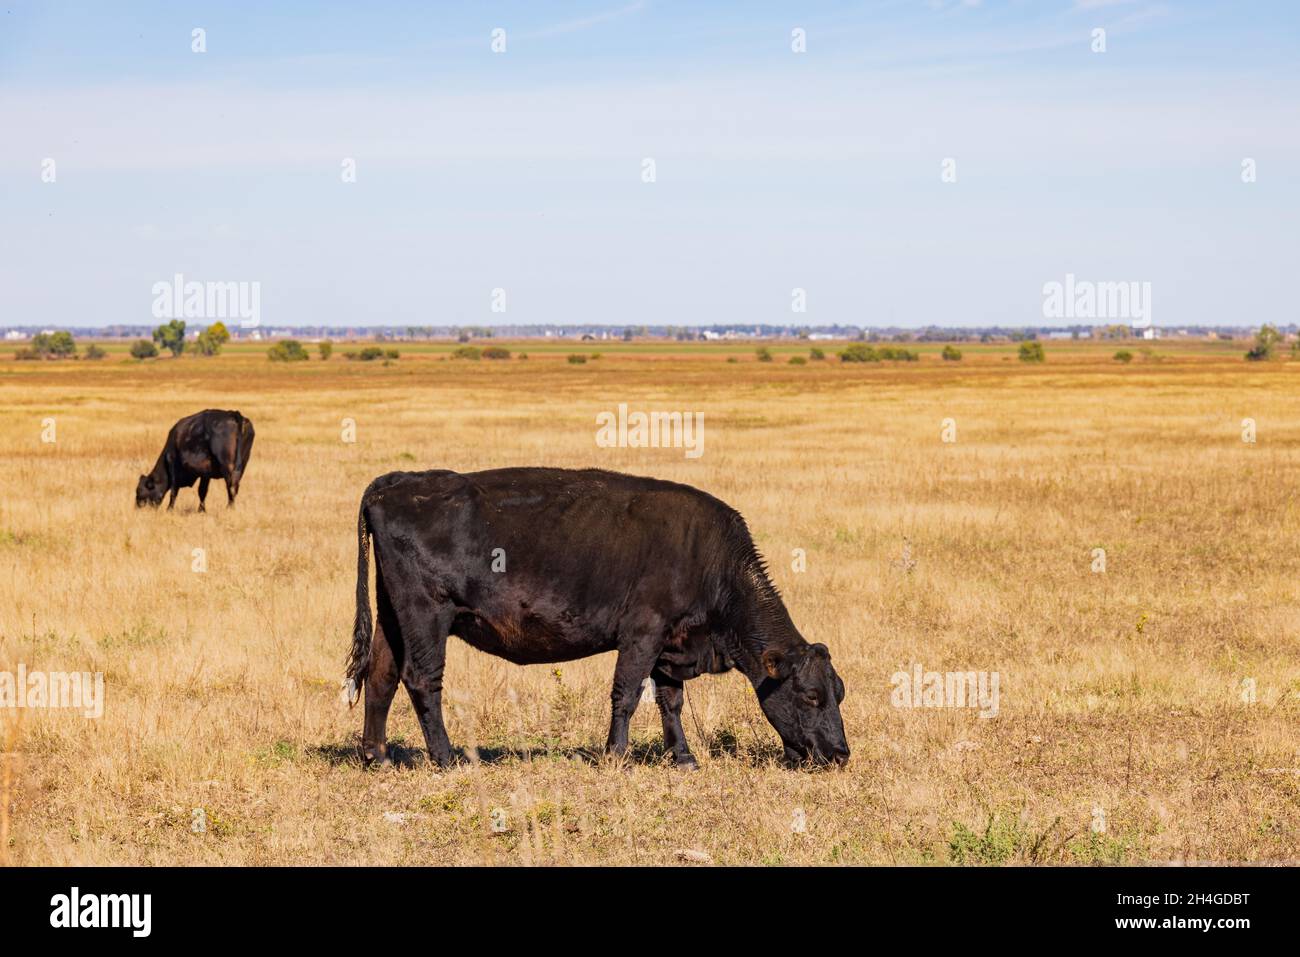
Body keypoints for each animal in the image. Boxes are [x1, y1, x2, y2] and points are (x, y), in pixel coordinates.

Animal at [345, 467, 849, 770]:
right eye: (810, 695)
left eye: (838, 692)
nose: (841, 753)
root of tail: (398, 482)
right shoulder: (643, 633)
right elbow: (626, 695)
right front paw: (615, 756)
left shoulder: (672, 644)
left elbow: (671, 702)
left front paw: (683, 758)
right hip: (426, 613)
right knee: (422, 679)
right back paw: (448, 758)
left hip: (392, 617)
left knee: (381, 675)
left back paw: (377, 756)